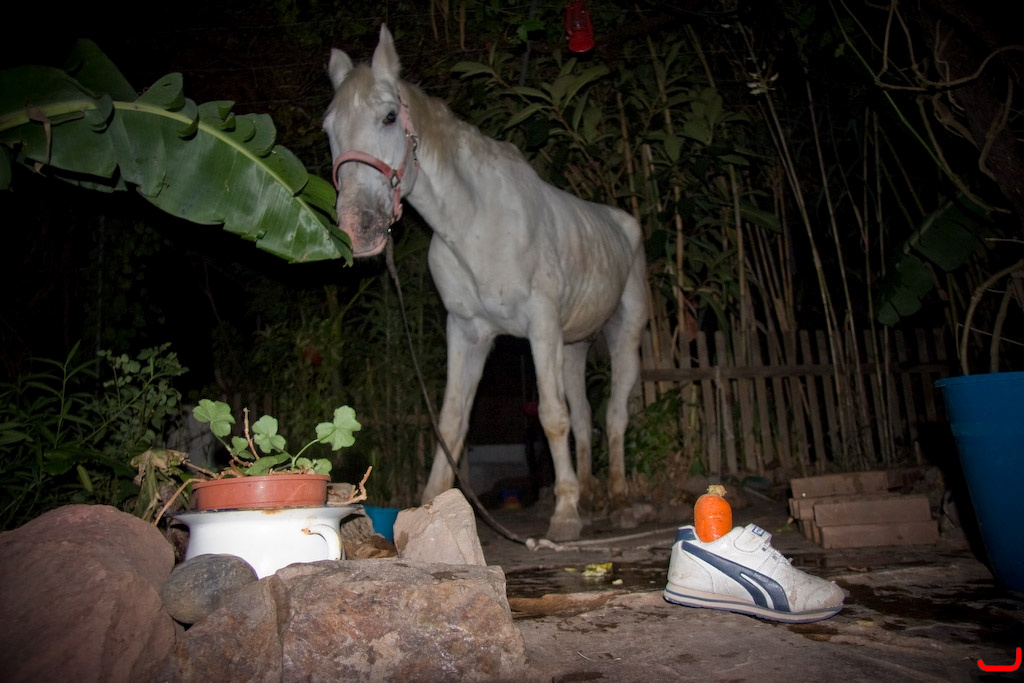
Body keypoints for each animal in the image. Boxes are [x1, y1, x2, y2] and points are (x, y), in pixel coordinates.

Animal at [323, 25, 648, 541]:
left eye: (390, 116)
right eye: (329, 129)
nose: (359, 229)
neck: (475, 220)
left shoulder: (540, 326)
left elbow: (551, 417)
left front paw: (564, 513)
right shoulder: (467, 331)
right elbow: (453, 421)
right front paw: (429, 506)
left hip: (624, 335)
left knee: (614, 416)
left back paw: (617, 499)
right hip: (574, 344)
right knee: (585, 416)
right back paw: (594, 494)